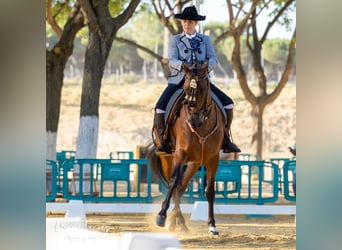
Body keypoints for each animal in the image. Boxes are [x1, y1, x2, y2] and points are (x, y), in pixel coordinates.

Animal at [146, 60, 224, 234]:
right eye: (186, 89)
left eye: (203, 89)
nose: (194, 120)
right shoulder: (179, 155)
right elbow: (173, 182)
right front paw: (161, 216)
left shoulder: (213, 159)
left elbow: (210, 191)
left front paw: (212, 225)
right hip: (168, 158)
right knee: (175, 186)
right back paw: (174, 220)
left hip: (194, 163)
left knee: (181, 187)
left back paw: (179, 222)